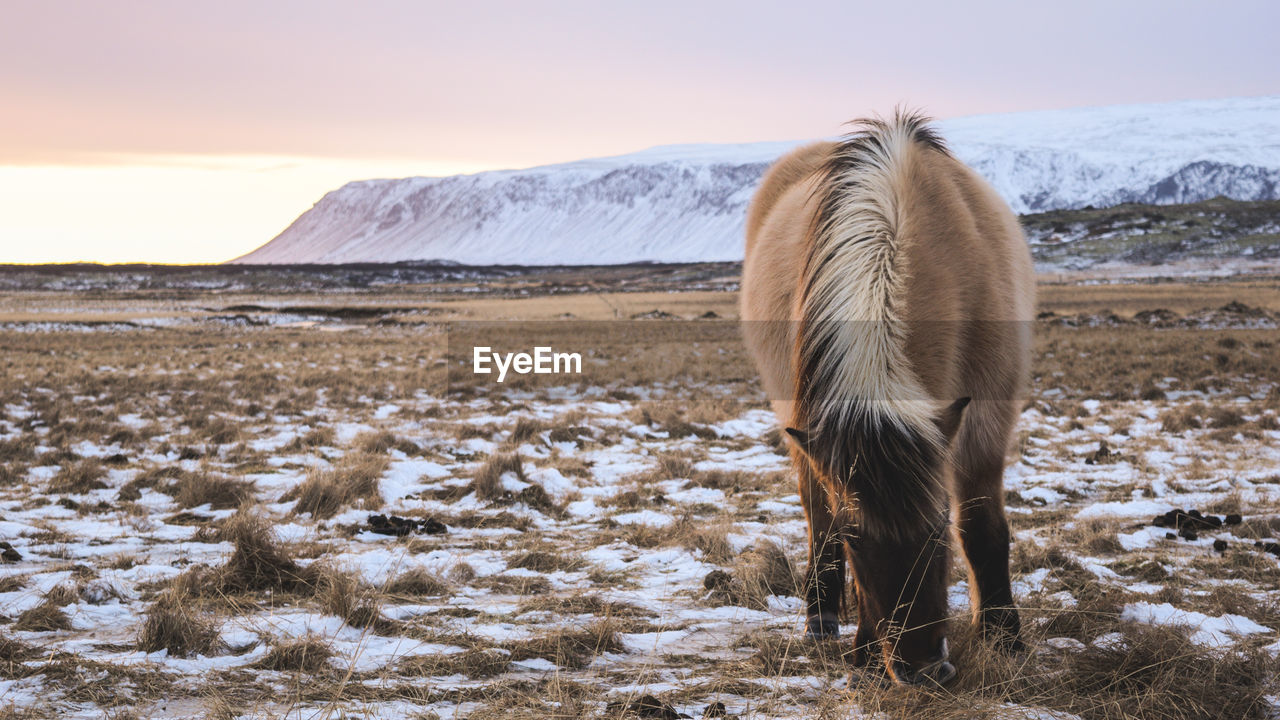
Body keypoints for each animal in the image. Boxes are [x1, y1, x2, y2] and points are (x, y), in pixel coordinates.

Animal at [742, 110, 1029, 681]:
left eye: (938, 527)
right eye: (858, 539)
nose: (921, 669)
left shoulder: (988, 413)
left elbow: (982, 526)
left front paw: (1004, 635)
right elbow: (831, 521)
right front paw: (867, 652)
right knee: (817, 515)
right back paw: (822, 619)